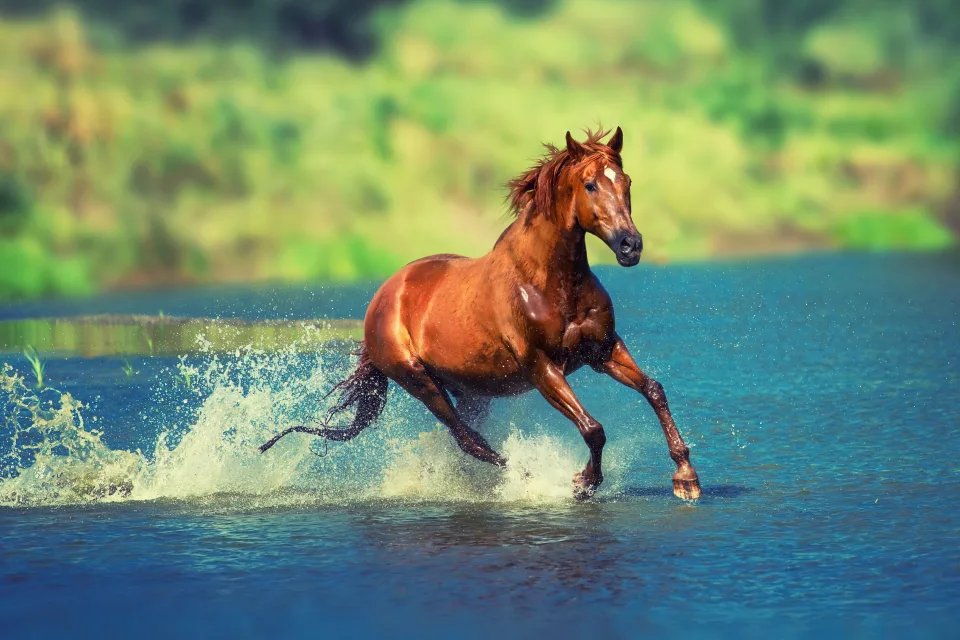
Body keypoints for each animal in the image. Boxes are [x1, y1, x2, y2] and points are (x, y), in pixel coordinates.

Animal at [260, 126, 701, 501]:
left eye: (626, 182)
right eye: (590, 184)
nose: (631, 245)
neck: (550, 283)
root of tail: (382, 298)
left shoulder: (602, 350)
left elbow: (654, 390)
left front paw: (686, 479)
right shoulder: (542, 367)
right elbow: (593, 429)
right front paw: (582, 483)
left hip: (469, 389)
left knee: (468, 438)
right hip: (418, 380)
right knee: (469, 439)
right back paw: (526, 477)